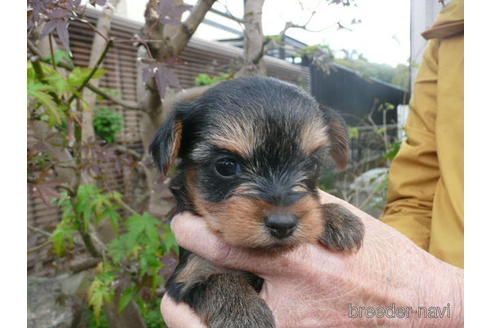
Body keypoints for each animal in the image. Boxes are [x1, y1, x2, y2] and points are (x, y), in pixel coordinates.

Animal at [151, 77, 366, 328]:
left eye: (312, 164)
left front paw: (335, 216)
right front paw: (243, 313)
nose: (283, 224)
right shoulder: (190, 273)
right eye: (226, 166)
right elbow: (219, 280)